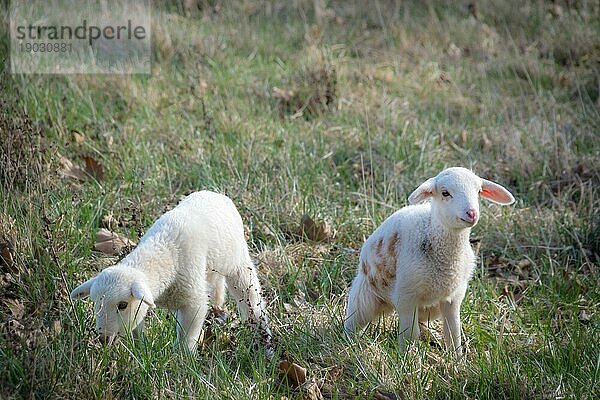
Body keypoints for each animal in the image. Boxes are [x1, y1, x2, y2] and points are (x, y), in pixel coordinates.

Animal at [69, 191, 270, 354]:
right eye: (96, 303)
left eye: (123, 305)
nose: (103, 339)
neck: (164, 252)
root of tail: (217, 194)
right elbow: (137, 327)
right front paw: (139, 348)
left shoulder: (193, 302)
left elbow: (187, 336)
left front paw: (184, 358)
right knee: (217, 288)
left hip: (237, 261)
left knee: (250, 296)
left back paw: (262, 333)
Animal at [344, 167, 512, 354]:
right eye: (445, 193)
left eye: (478, 192)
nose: (472, 213)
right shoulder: (406, 295)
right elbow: (409, 334)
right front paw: (406, 358)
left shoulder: (454, 297)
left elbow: (453, 333)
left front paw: (457, 359)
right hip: (363, 298)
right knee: (353, 323)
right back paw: (348, 343)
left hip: (430, 307)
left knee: (422, 322)